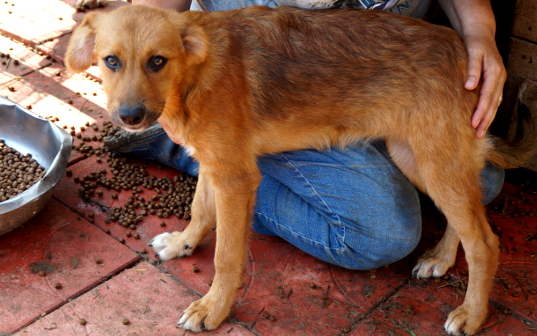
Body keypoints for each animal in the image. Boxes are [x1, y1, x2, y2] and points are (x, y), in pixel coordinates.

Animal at [65, 4, 532, 334]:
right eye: (110, 61)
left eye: (157, 61)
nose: (130, 117)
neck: (194, 74)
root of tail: (461, 49)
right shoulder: (216, 163)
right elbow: (200, 210)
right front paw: (183, 243)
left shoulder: (236, 177)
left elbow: (226, 256)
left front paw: (213, 308)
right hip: (417, 157)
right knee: (469, 212)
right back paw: (440, 257)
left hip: (434, 159)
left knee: (485, 242)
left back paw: (471, 314)